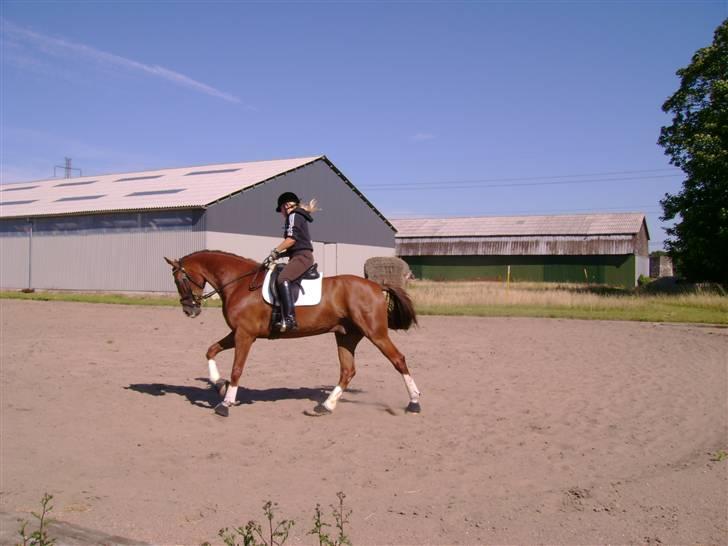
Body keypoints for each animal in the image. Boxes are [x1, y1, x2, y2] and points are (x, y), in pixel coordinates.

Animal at [161, 251, 418, 416]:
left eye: (179, 279)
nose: (189, 310)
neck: (239, 283)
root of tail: (377, 286)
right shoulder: (238, 333)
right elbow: (211, 350)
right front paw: (218, 385)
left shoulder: (244, 335)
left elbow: (237, 369)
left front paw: (225, 404)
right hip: (346, 335)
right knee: (347, 371)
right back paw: (325, 406)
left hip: (375, 333)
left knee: (398, 360)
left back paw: (414, 402)